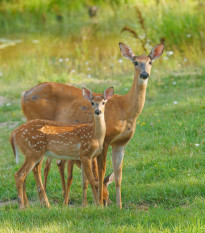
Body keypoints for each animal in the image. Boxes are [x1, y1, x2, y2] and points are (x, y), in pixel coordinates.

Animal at [21, 41, 165, 208]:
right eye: (135, 62)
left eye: (150, 62)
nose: (144, 74)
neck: (125, 109)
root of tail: (24, 95)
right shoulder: (106, 139)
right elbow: (101, 172)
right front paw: (100, 204)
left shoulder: (121, 142)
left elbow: (118, 174)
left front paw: (119, 206)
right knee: (36, 167)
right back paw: (45, 203)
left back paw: (33, 203)